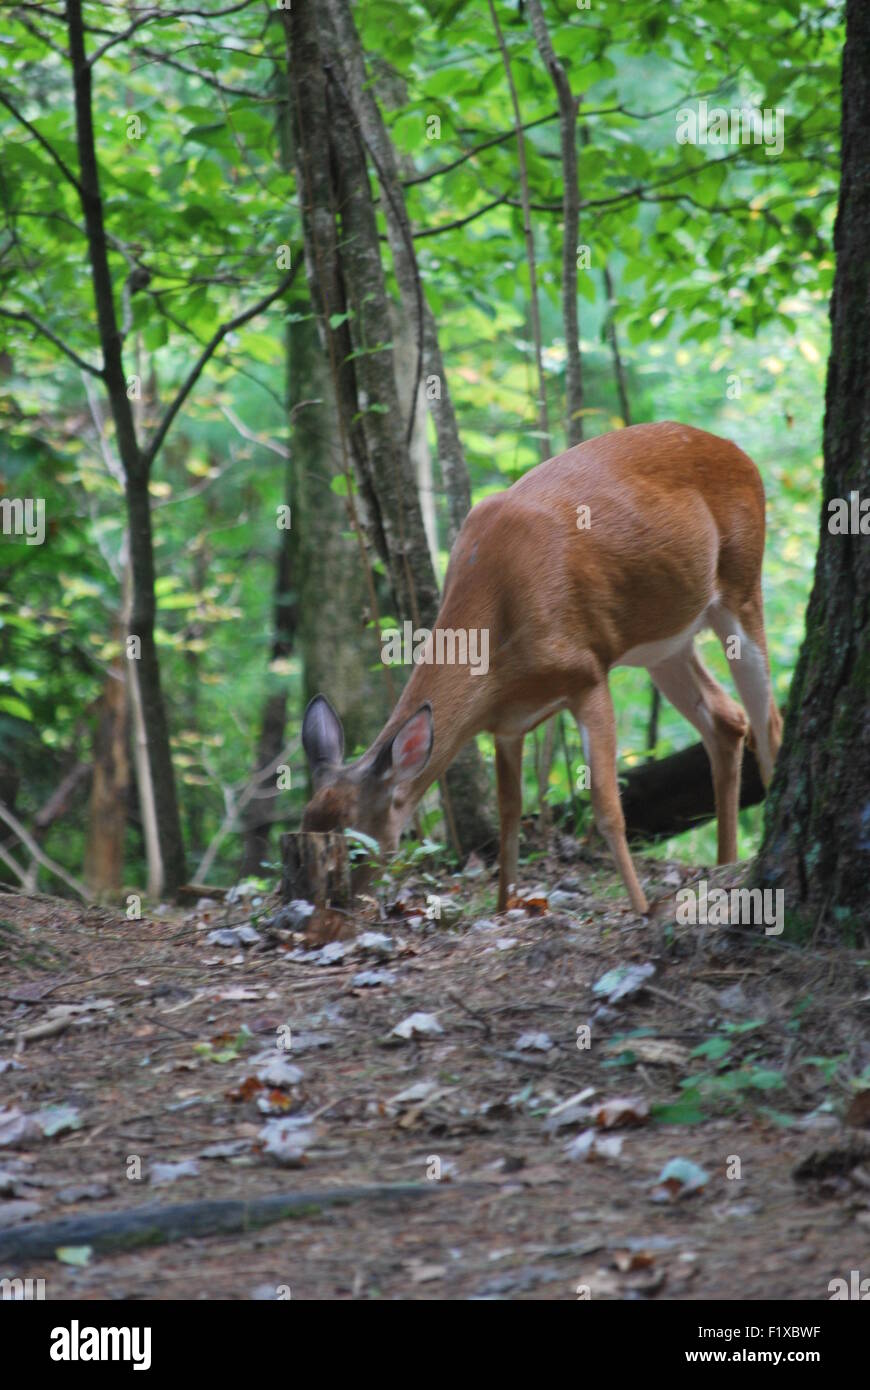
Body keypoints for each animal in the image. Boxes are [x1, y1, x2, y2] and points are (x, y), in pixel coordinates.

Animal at [301, 421, 783, 915]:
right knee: (726, 718)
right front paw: (503, 905)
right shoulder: (507, 723)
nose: (325, 903)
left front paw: (641, 907)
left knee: (768, 719)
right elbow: (509, 813)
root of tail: (739, 453)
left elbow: (607, 808)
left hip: (742, 584)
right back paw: (726, 863)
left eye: (355, 845)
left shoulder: (587, 673)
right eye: (304, 829)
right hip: (666, 643)